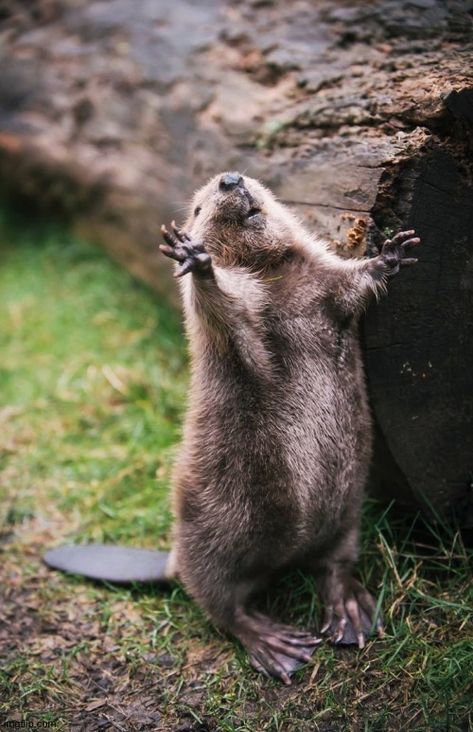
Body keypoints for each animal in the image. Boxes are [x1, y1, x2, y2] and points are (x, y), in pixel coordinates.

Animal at [159, 170, 420, 680]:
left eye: (249, 177)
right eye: (198, 208)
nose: (230, 179)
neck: (271, 274)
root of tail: (280, 563)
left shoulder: (320, 278)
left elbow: (349, 288)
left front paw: (392, 253)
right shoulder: (235, 321)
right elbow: (231, 320)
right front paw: (194, 258)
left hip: (347, 512)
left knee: (333, 564)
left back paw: (350, 616)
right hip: (207, 535)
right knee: (219, 602)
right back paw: (280, 646)